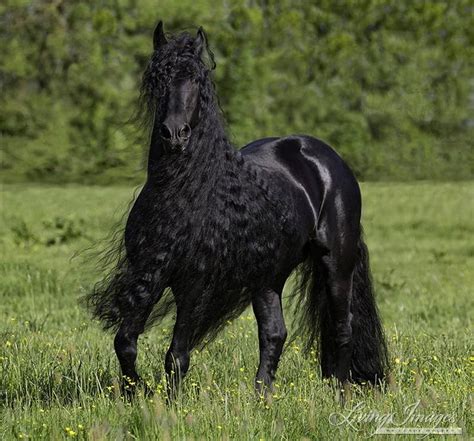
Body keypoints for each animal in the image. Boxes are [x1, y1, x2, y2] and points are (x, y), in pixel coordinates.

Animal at [86, 22, 388, 398]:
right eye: (157, 78)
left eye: (197, 79)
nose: (175, 134)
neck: (183, 192)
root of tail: (325, 158)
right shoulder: (149, 274)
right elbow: (125, 343)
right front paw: (136, 393)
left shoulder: (195, 285)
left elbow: (176, 355)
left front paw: (168, 405)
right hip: (269, 276)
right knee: (274, 333)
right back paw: (262, 397)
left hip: (336, 262)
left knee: (341, 328)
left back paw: (341, 397)